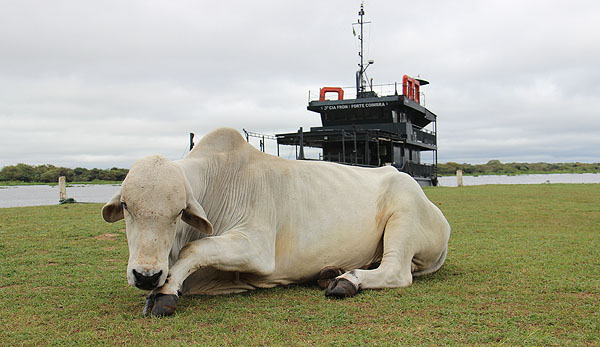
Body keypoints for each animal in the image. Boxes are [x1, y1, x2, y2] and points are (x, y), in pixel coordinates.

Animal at [103, 128, 450, 318]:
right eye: (127, 207)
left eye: (178, 213)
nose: (146, 276)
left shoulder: (256, 246)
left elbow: (194, 249)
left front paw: (165, 292)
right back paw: (328, 274)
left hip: (404, 214)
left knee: (396, 272)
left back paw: (345, 281)